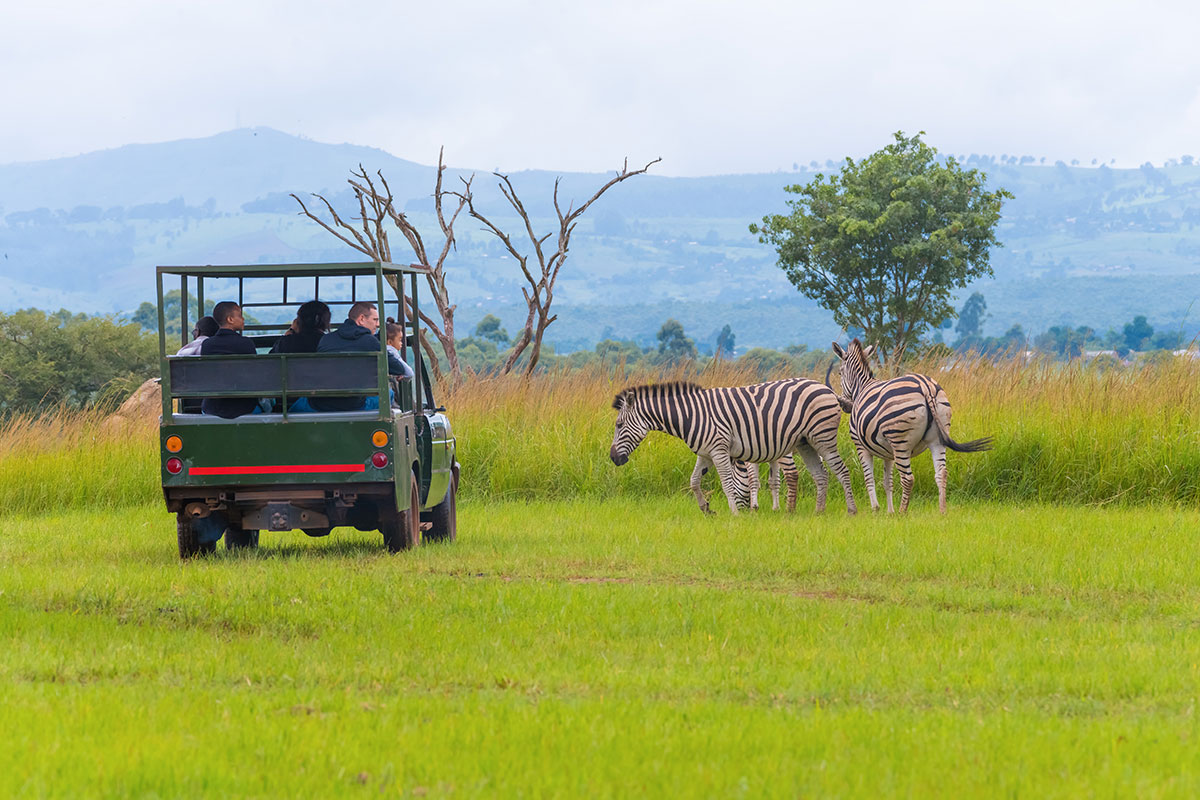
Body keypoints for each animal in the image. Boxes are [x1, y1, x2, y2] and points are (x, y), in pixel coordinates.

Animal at [609, 380, 857, 515]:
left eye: (619, 425)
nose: (613, 458)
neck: (691, 415)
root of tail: (826, 388)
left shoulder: (719, 450)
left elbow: (728, 484)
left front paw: (735, 513)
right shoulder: (705, 453)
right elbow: (694, 481)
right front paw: (707, 509)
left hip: (823, 439)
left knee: (842, 471)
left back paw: (851, 510)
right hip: (806, 444)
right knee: (821, 475)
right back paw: (818, 512)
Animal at [831, 339, 992, 514]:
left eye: (839, 373)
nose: (846, 406)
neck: (861, 387)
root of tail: (925, 385)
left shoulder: (861, 446)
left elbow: (869, 478)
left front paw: (876, 509)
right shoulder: (888, 453)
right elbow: (888, 482)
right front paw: (889, 512)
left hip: (900, 439)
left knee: (908, 478)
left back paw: (903, 512)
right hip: (937, 438)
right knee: (941, 473)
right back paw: (942, 511)